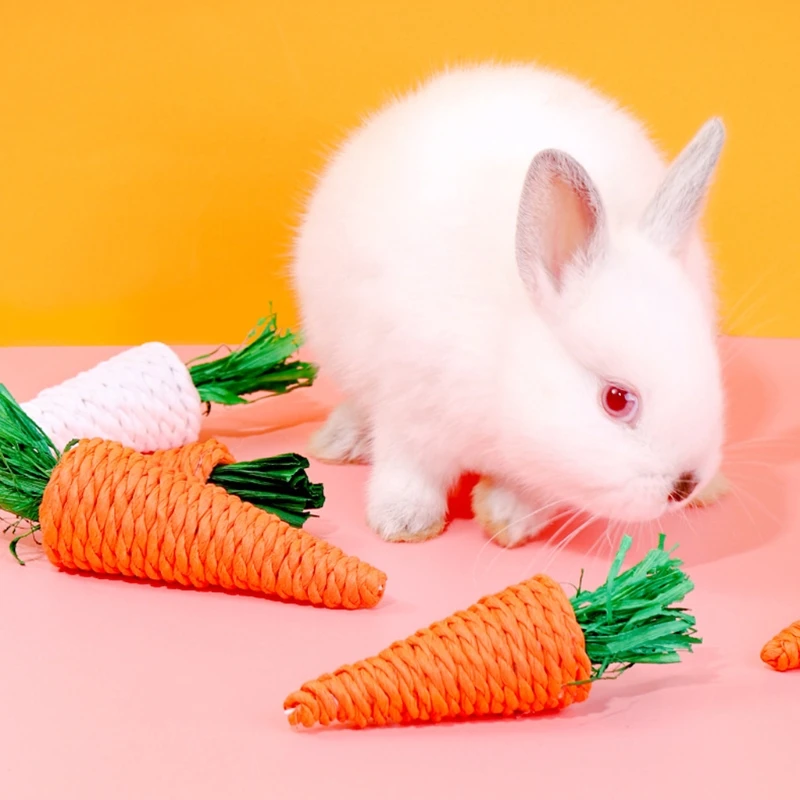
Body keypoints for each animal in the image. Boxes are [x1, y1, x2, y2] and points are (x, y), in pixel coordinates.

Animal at [290, 62, 728, 547]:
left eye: (711, 370)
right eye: (616, 399)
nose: (684, 485)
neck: (505, 364)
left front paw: (508, 518)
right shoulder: (410, 411)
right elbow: (408, 469)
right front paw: (403, 522)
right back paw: (339, 441)